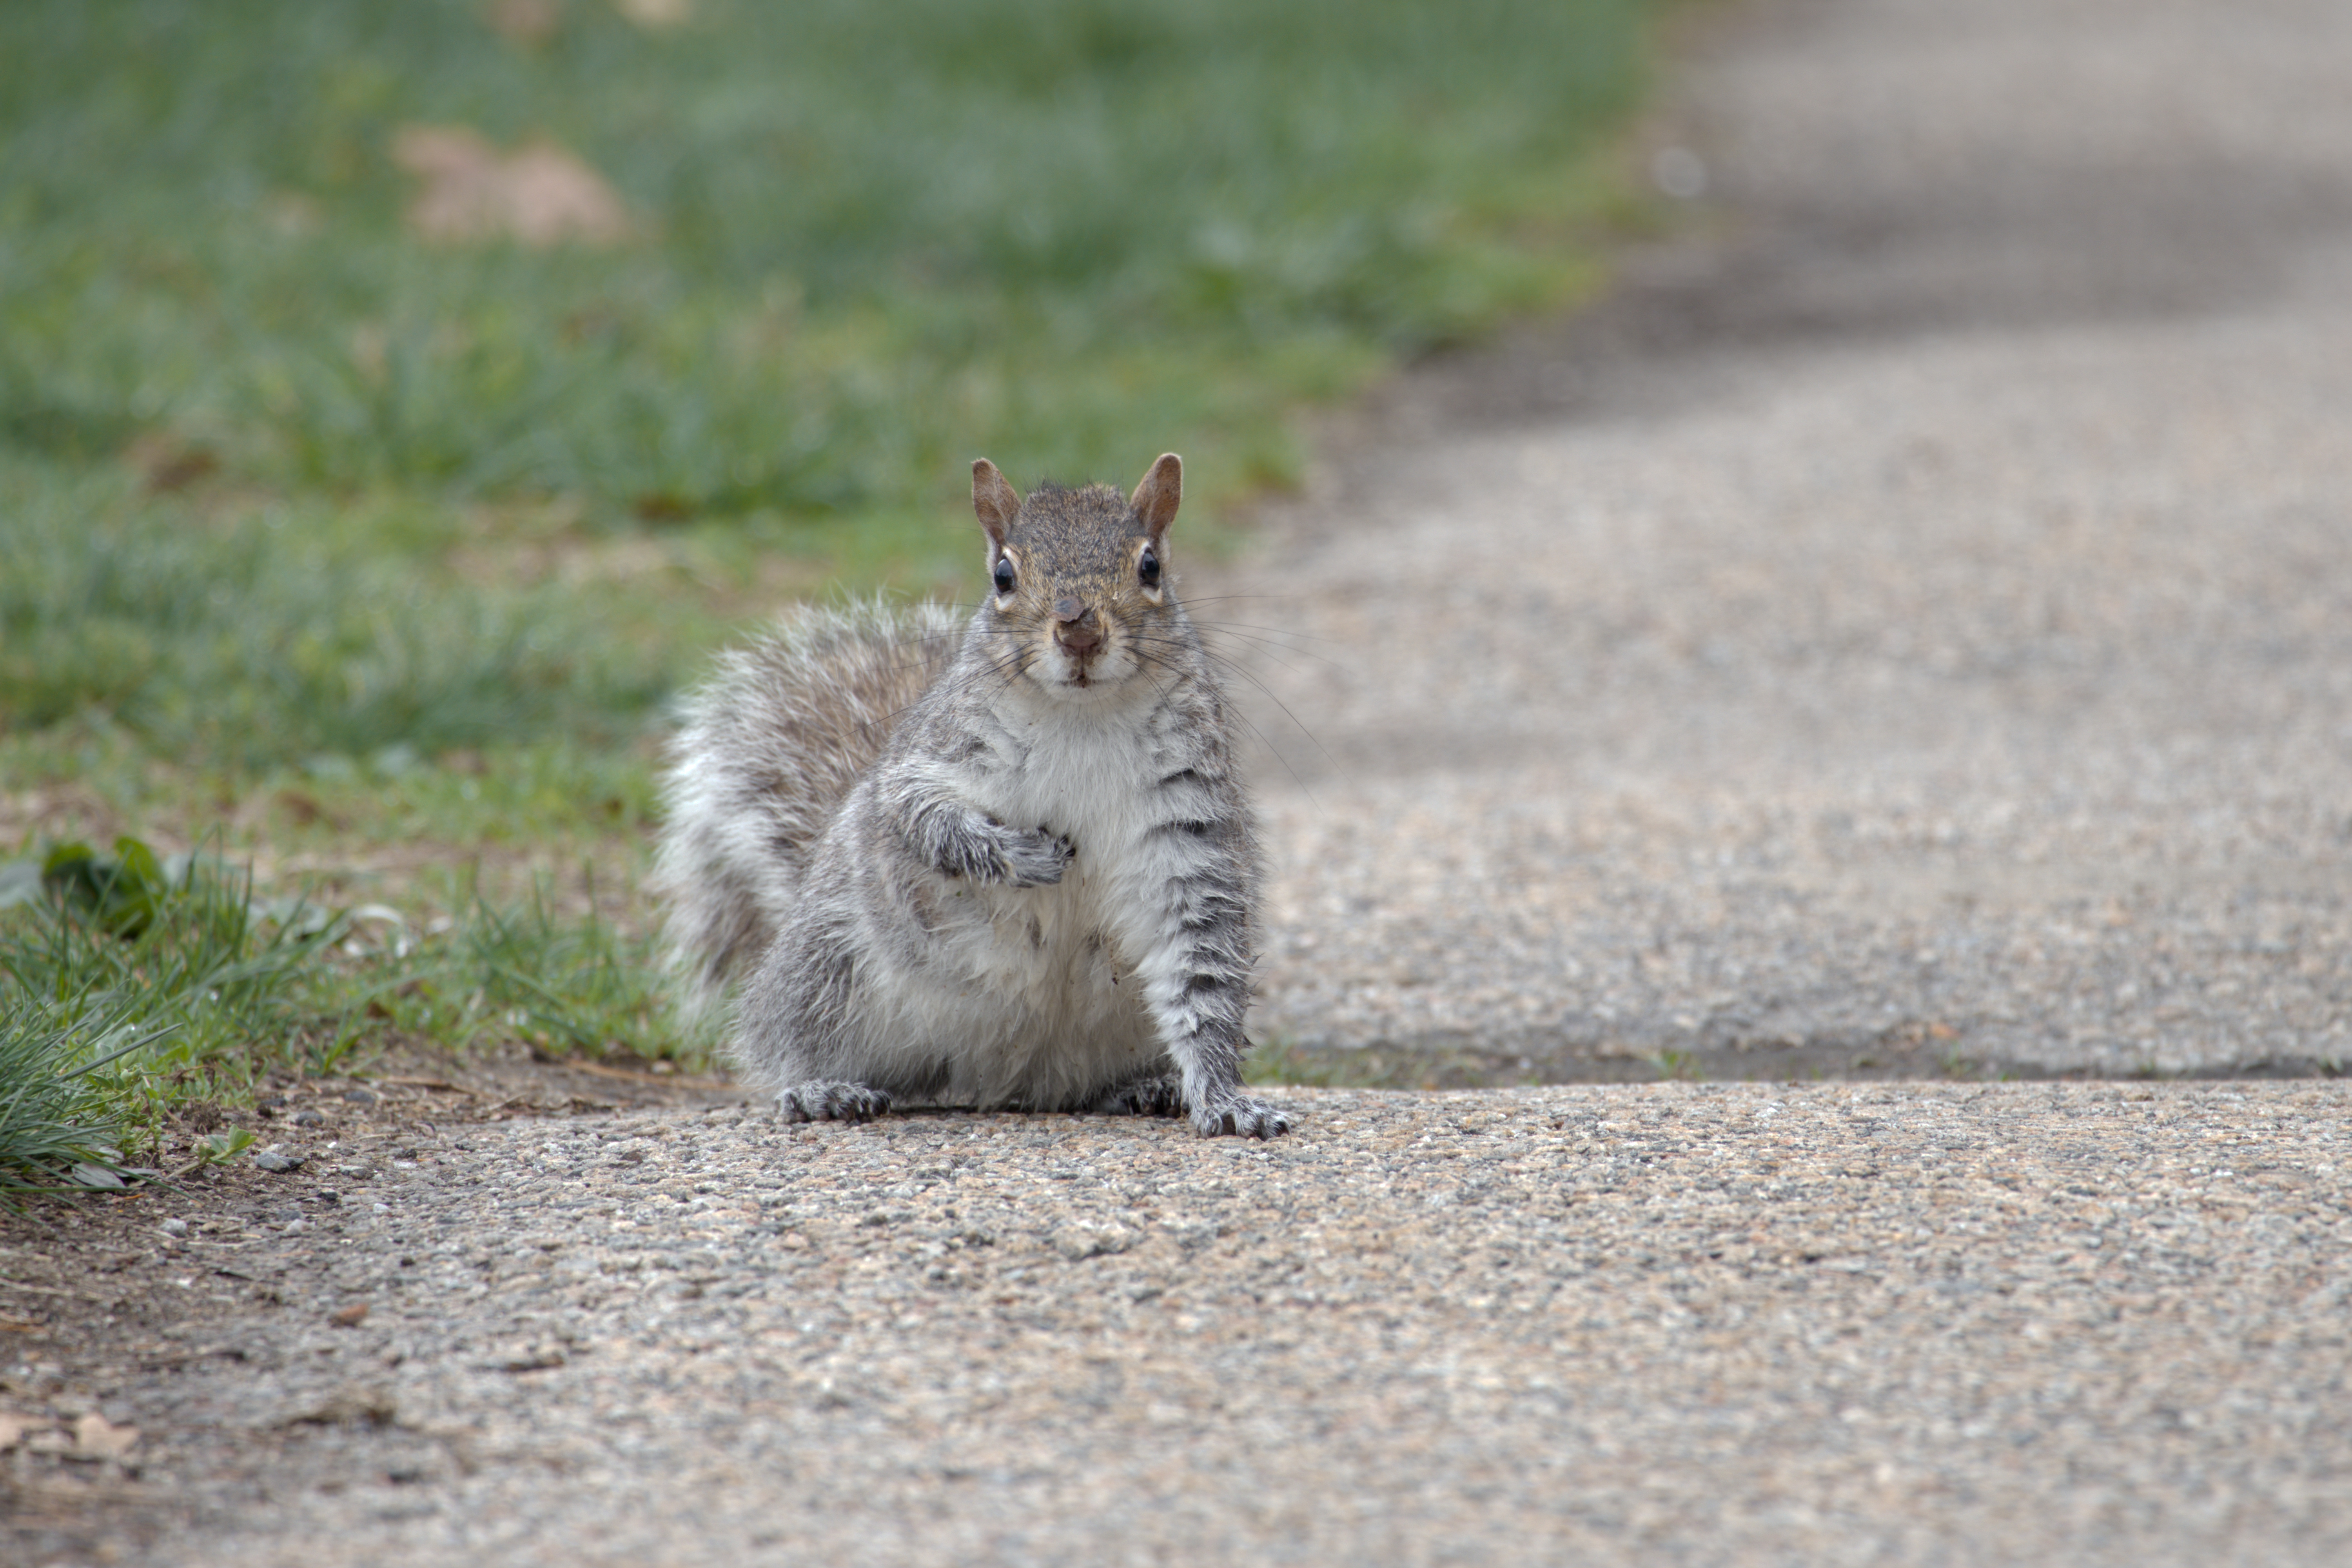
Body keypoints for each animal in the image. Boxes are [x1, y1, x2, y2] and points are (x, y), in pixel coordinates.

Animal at [654, 453, 1292, 1139]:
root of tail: (1014, 1077)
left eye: (1151, 566)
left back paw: (1145, 1086)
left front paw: (1225, 1100)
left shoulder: (1188, 825)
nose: (1079, 629)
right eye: (1003, 576)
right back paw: (820, 1088)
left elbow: (1203, 981)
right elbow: (925, 820)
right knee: (783, 1039)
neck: (1083, 717)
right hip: (828, 965)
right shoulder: (926, 763)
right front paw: (1025, 856)